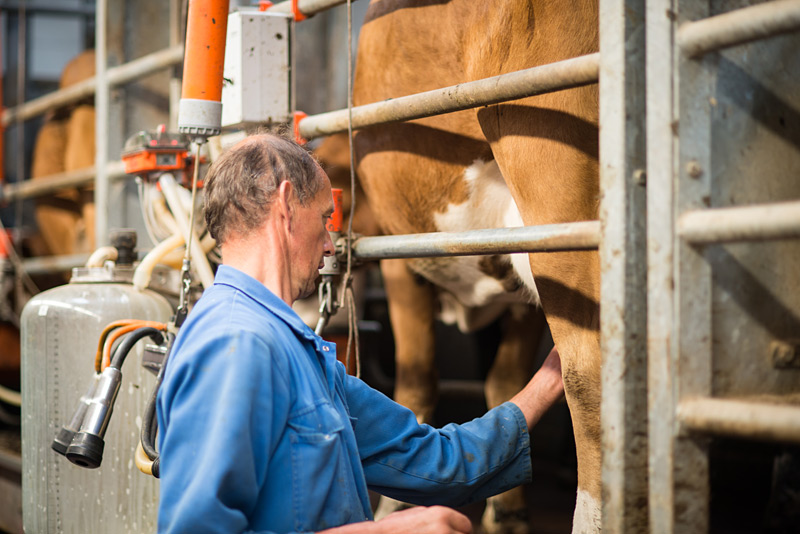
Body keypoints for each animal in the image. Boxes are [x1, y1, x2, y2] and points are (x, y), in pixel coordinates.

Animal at [354, 2, 604, 532]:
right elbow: (505, 381)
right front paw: (507, 513)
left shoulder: (397, 253)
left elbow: (416, 377)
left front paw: (394, 507)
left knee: (588, 371)